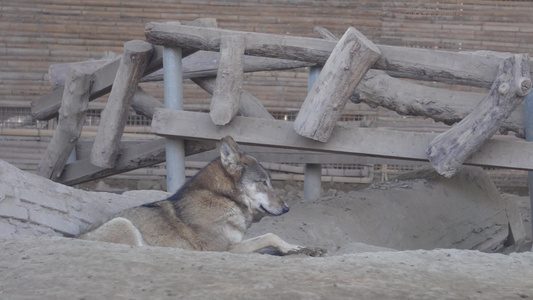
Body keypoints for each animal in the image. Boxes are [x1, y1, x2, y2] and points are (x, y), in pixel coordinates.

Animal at [78, 136, 324, 255]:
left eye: (269, 181)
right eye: (263, 183)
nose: (287, 208)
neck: (222, 198)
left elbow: (275, 244)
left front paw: (301, 249)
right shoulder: (225, 249)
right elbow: (270, 236)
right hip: (124, 223)